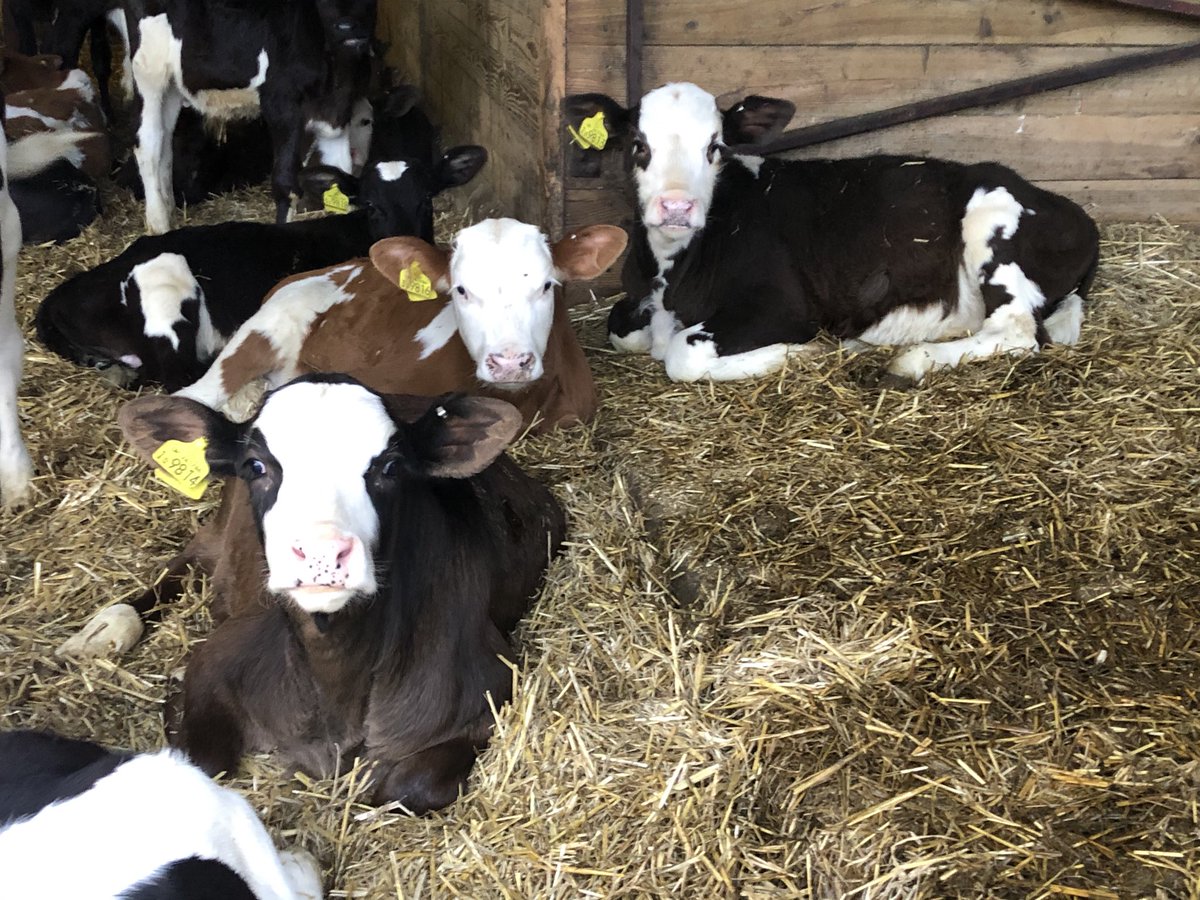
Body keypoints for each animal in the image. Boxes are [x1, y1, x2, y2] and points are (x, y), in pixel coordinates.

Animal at [111, 375, 566, 813]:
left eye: (392, 467)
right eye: (255, 466)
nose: (321, 553)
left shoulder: (490, 690)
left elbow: (408, 788)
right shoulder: (216, 659)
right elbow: (199, 760)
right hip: (218, 533)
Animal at [123, 0, 377, 233]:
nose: (346, 27)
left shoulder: (337, 115)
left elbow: (341, 171)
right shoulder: (280, 106)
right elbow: (285, 184)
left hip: (173, 86)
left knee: (165, 142)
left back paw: (169, 210)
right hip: (149, 72)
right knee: (148, 143)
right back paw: (159, 223)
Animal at [563, 82, 1100, 384]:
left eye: (715, 147)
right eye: (638, 144)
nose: (677, 206)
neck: (672, 278)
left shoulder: (780, 306)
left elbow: (681, 355)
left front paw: (796, 355)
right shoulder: (636, 303)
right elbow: (620, 329)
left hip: (992, 224)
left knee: (1016, 333)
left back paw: (910, 362)